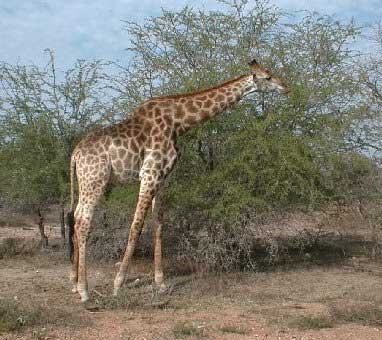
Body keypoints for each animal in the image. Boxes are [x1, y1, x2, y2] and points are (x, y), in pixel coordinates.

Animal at [67, 58, 288, 302]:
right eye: (268, 77)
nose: (286, 88)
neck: (179, 123)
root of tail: (75, 154)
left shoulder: (163, 178)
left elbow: (158, 224)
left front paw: (161, 283)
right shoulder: (149, 174)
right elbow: (136, 225)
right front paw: (118, 284)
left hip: (85, 183)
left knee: (75, 217)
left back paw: (75, 284)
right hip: (95, 181)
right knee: (83, 222)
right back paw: (85, 291)